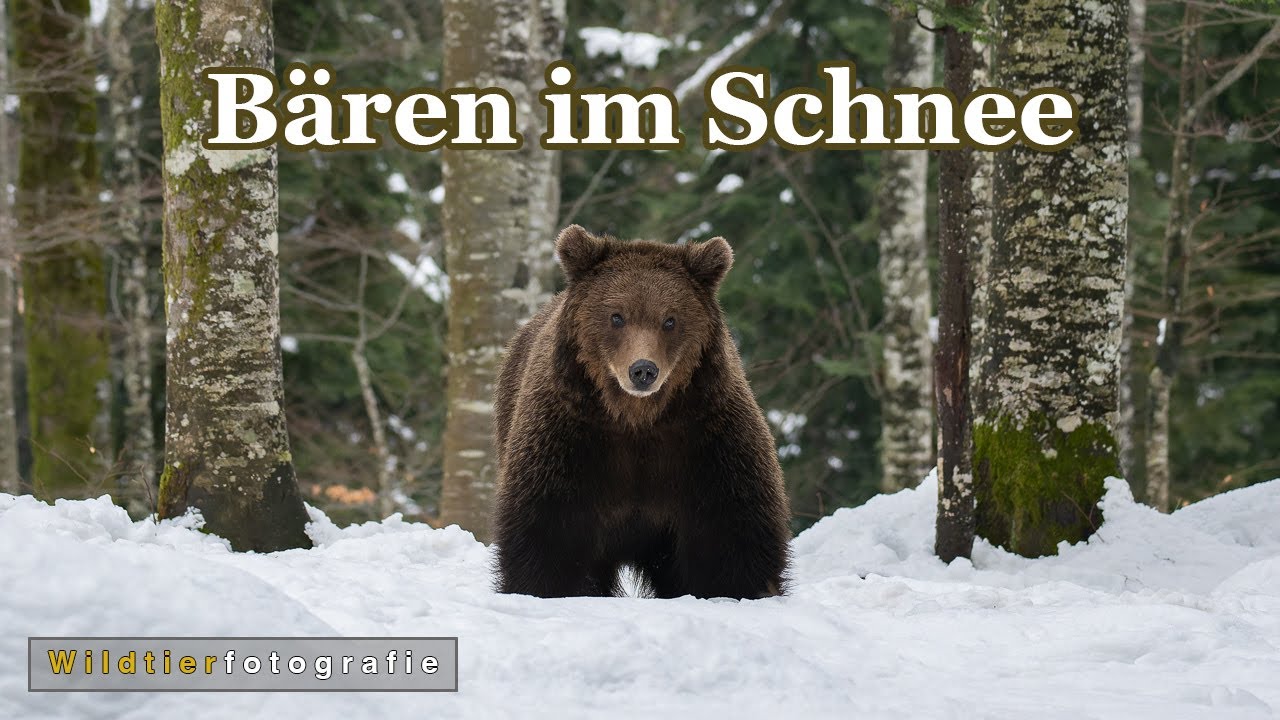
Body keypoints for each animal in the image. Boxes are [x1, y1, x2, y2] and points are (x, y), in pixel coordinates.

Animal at [491, 224, 791, 599]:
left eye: (670, 320)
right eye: (617, 316)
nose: (643, 370)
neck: (637, 418)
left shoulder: (706, 440)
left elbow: (734, 530)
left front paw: (741, 588)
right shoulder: (571, 435)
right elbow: (547, 528)